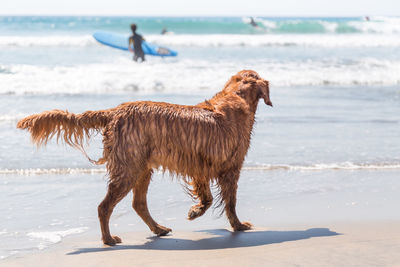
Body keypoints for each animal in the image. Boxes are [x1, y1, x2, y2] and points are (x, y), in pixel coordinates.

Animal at [18, 70, 272, 246]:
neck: (235, 98)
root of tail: (114, 111)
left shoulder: (199, 166)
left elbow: (208, 198)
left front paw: (195, 211)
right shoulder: (230, 168)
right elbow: (230, 202)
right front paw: (238, 225)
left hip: (142, 168)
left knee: (138, 204)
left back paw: (158, 229)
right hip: (128, 169)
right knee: (104, 207)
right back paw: (109, 239)